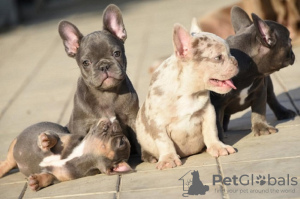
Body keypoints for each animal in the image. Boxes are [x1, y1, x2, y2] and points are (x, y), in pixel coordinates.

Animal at [0, 118, 132, 191]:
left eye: (121, 143)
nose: (116, 122)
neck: (80, 154)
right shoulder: (63, 137)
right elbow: (54, 137)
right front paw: (45, 141)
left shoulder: (59, 177)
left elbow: (48, 177)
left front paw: (36, 181)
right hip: (14, 144)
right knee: (8, 162)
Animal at [59, 4, 141, 154]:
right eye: (86, 62)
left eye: (117, 53)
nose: (104, 66)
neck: (106, 93)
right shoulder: (81, 126)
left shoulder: (133, 118)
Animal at [136, 22, 239, 169]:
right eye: (218, 58)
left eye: (230, 52)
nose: (235, 61)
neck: (187, 91)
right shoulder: (157, 123)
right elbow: (164, 142)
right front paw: (168, 158)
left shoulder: (208, 113)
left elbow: (211, 131)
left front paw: (217, 147)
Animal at [210, 7, 296, 139]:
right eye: (290, 42)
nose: (293, 54)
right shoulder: (216, 104)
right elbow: (215, 122)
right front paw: (218, 139)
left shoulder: (260, 90)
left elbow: (259, 110)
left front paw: (261, 127)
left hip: (268, 84)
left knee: (272, 97)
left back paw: (283, 112)